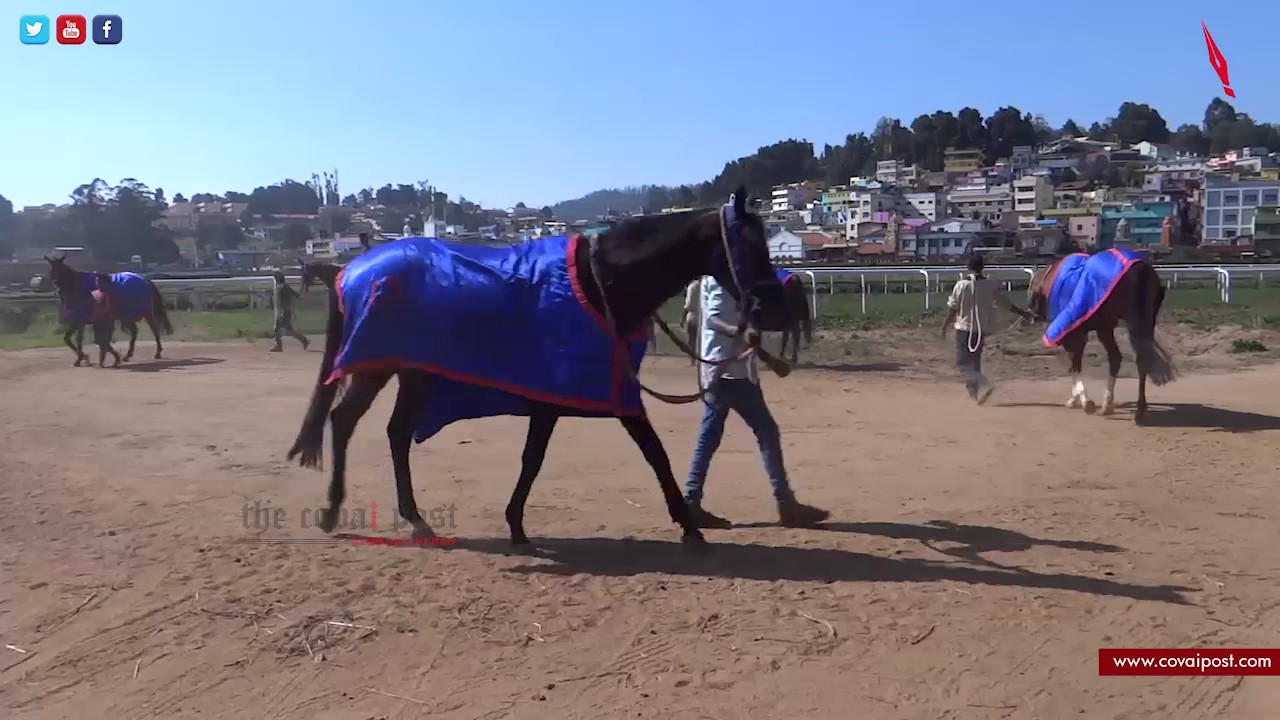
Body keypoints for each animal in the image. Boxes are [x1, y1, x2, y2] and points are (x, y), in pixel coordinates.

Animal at [286, 188, 789, 550]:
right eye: (748, 245)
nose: (771, 309)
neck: (599, 282)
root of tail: (351, 268)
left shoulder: (581, 395)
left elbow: (544, 459)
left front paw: (515, 523)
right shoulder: (578, 396)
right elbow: (646, 453)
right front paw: (688, 525)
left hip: (413, 373)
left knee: (389, 432)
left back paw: (407, 518)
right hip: (380, 368)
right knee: (345, 421)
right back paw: (336, 510)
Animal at [684, 268, 812, 364]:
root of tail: (795, 280)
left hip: (792, 317)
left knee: (795, 334)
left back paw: (793, 357)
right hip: (789, 318)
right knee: (789, 334)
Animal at [1026, 247, 1176, 424]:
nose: (1031, 316)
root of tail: (1140, 269)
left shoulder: (1072, 333)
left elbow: (1074, 363)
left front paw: (1082, 400)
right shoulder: (1094, 329)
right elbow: (1076, 362)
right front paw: (1080, 399)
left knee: (1126, 357)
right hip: (1134, 324)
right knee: (1131, 358)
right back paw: (1118, 406)